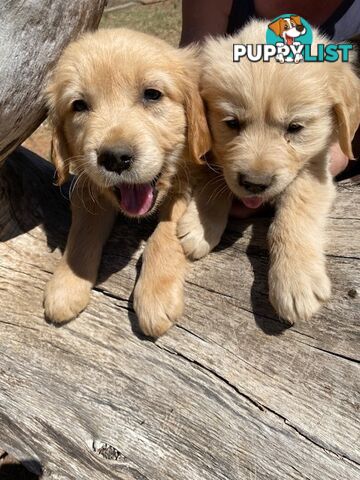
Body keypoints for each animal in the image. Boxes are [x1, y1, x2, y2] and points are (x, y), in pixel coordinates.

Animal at [43, 28, 210, 336]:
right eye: (79, 105)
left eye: (152, 95)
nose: (116, 158)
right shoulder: (87, 188)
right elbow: (83, 231)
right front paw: (67, 283)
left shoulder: (191, 175)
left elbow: (166, 231)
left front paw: (156, 294)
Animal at [178, 20, 360, 324]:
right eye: (231, 123)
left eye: (295, 128)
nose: (255, 183)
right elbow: (214, 178)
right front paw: (200, 224)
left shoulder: (315, 166)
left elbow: (296, 210)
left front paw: (296, 279)